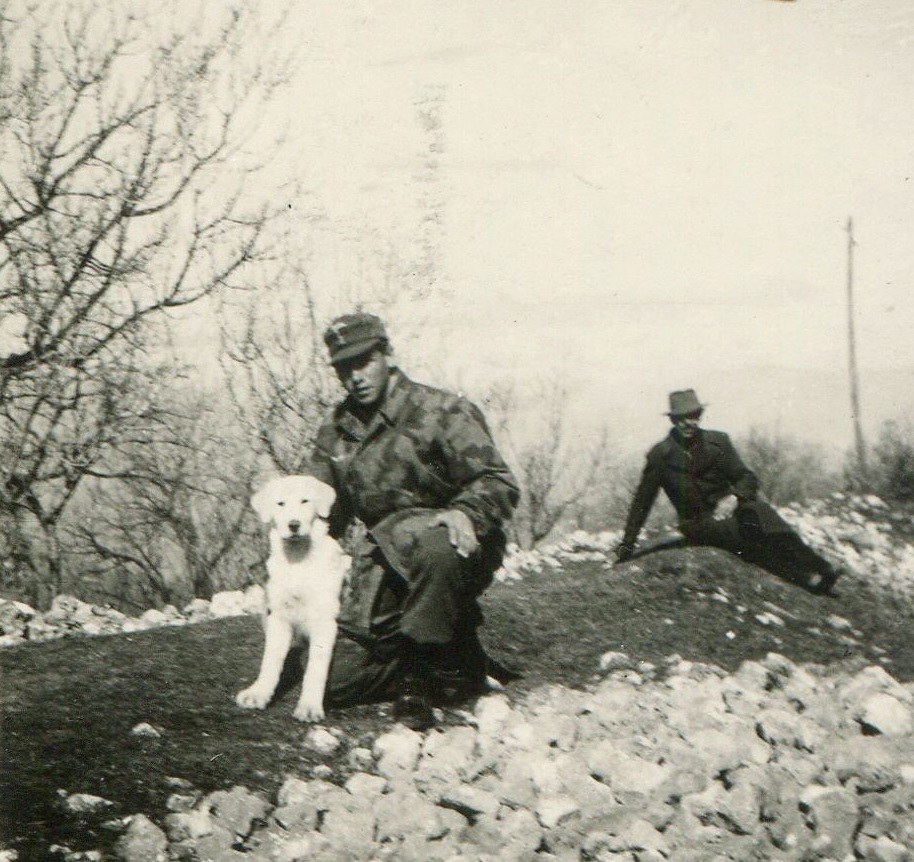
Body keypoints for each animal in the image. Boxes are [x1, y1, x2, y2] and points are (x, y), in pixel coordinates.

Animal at [236, 475, 349, 722]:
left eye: (305, 501)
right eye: (280, 504)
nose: (293, 525)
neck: (298, 559)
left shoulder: (324, 621)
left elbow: (316, 668)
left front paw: (309, 706)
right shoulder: (279, 617)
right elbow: (270, 661)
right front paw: (258, 693)